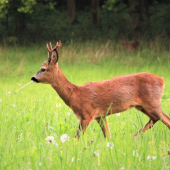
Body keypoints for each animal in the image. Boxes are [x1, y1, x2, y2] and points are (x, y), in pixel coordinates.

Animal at [31, 40, 170, 138]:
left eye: (43, 69)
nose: (33, 78)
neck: (74, 95)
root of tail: (162, 80)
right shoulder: (101, 116)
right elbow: (107, 136)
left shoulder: (87, 114)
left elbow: (77, 137)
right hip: (141, 106)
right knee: (155, 118)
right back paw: (134, 136)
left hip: (152, 101)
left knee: (165, 119)